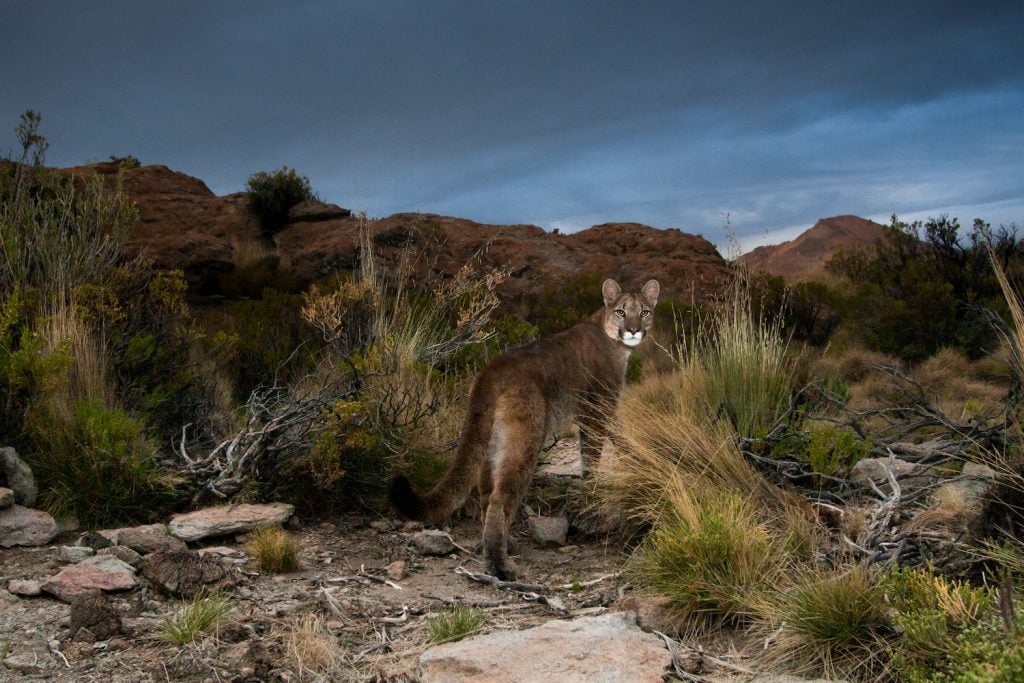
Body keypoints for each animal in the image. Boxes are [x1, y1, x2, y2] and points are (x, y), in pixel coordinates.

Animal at [387, 276, 659, 577]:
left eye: (644, 311)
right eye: (621, 311)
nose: (633, 330)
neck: (612, 339)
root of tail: (491, 370)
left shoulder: (606, 411)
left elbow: (621, 437)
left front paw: (642, 458)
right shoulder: (597, 410)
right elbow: (591, 456)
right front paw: (594, 490)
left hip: (492, 441)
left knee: (485, 491)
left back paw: (502, 546)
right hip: (526, 440)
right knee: (500, 497)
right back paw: (501, 566)